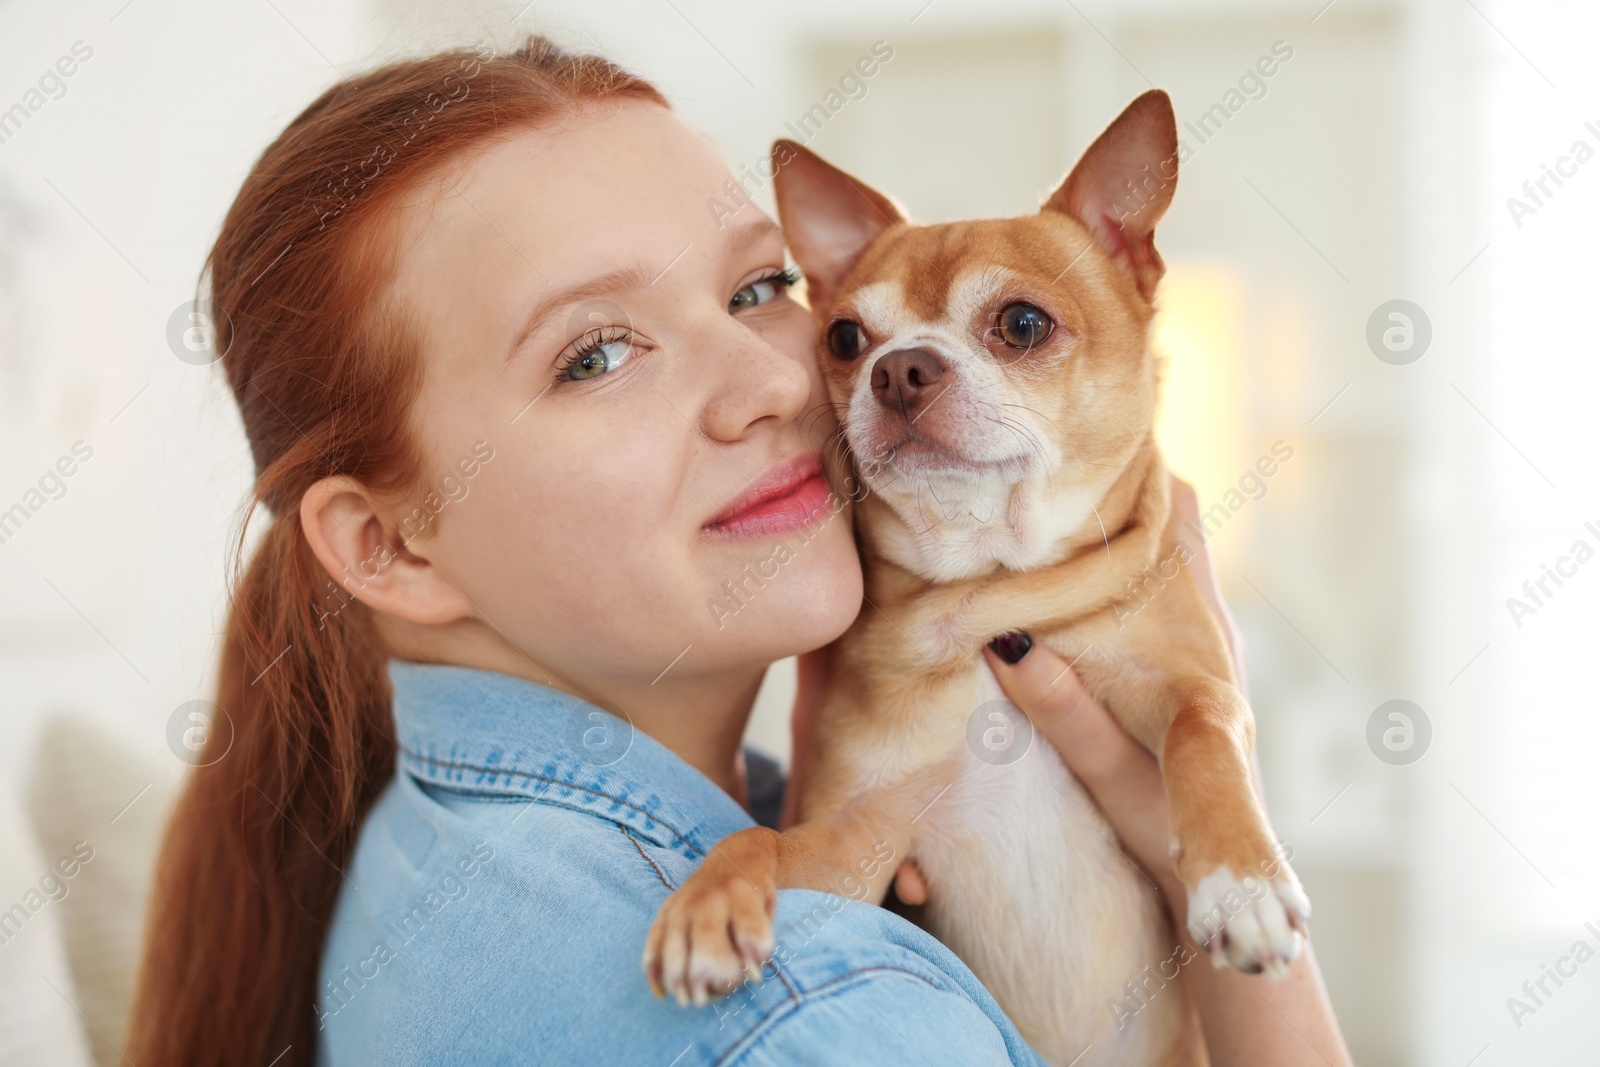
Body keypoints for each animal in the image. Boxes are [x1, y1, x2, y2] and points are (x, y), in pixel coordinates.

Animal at [643, 93, 1305, 1067]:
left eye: (1023, 324)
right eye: (844, 337)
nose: (898, 368)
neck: (983, 592)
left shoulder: (1191, 679)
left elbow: (1202, 734)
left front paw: (1242, 884)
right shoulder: (858, 843)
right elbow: (756, 835)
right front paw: (704, 907)